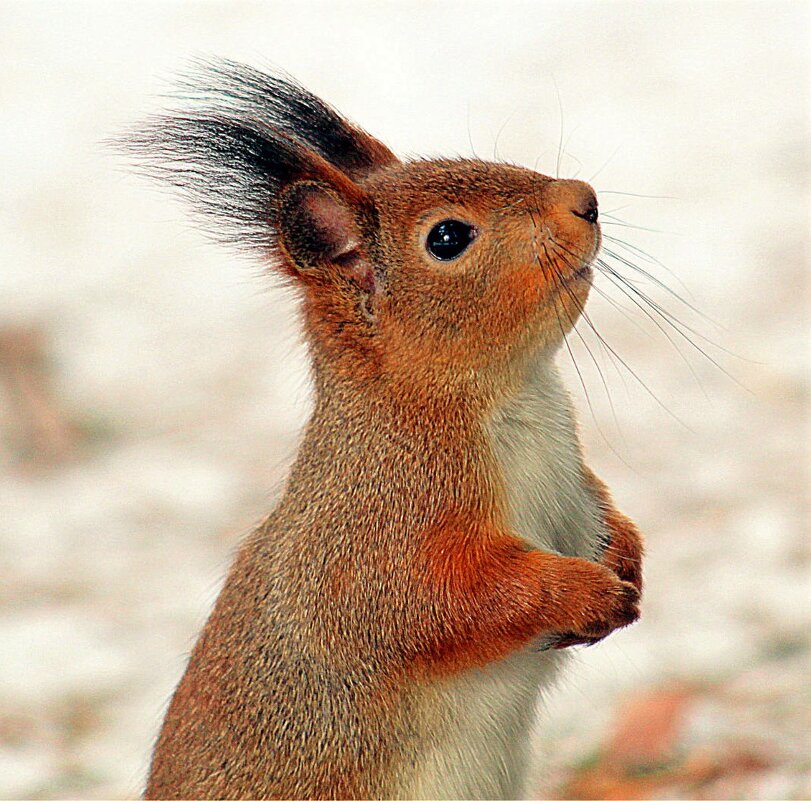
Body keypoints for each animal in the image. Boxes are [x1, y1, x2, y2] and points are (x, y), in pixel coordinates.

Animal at [128, 59, 648, 796]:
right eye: (447, 238)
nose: (584, 199)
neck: (515, 397)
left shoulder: (572, 483)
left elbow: (602, 510)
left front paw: (627, 558)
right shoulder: (376, 532)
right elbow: (434, 603)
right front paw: (583, 593)